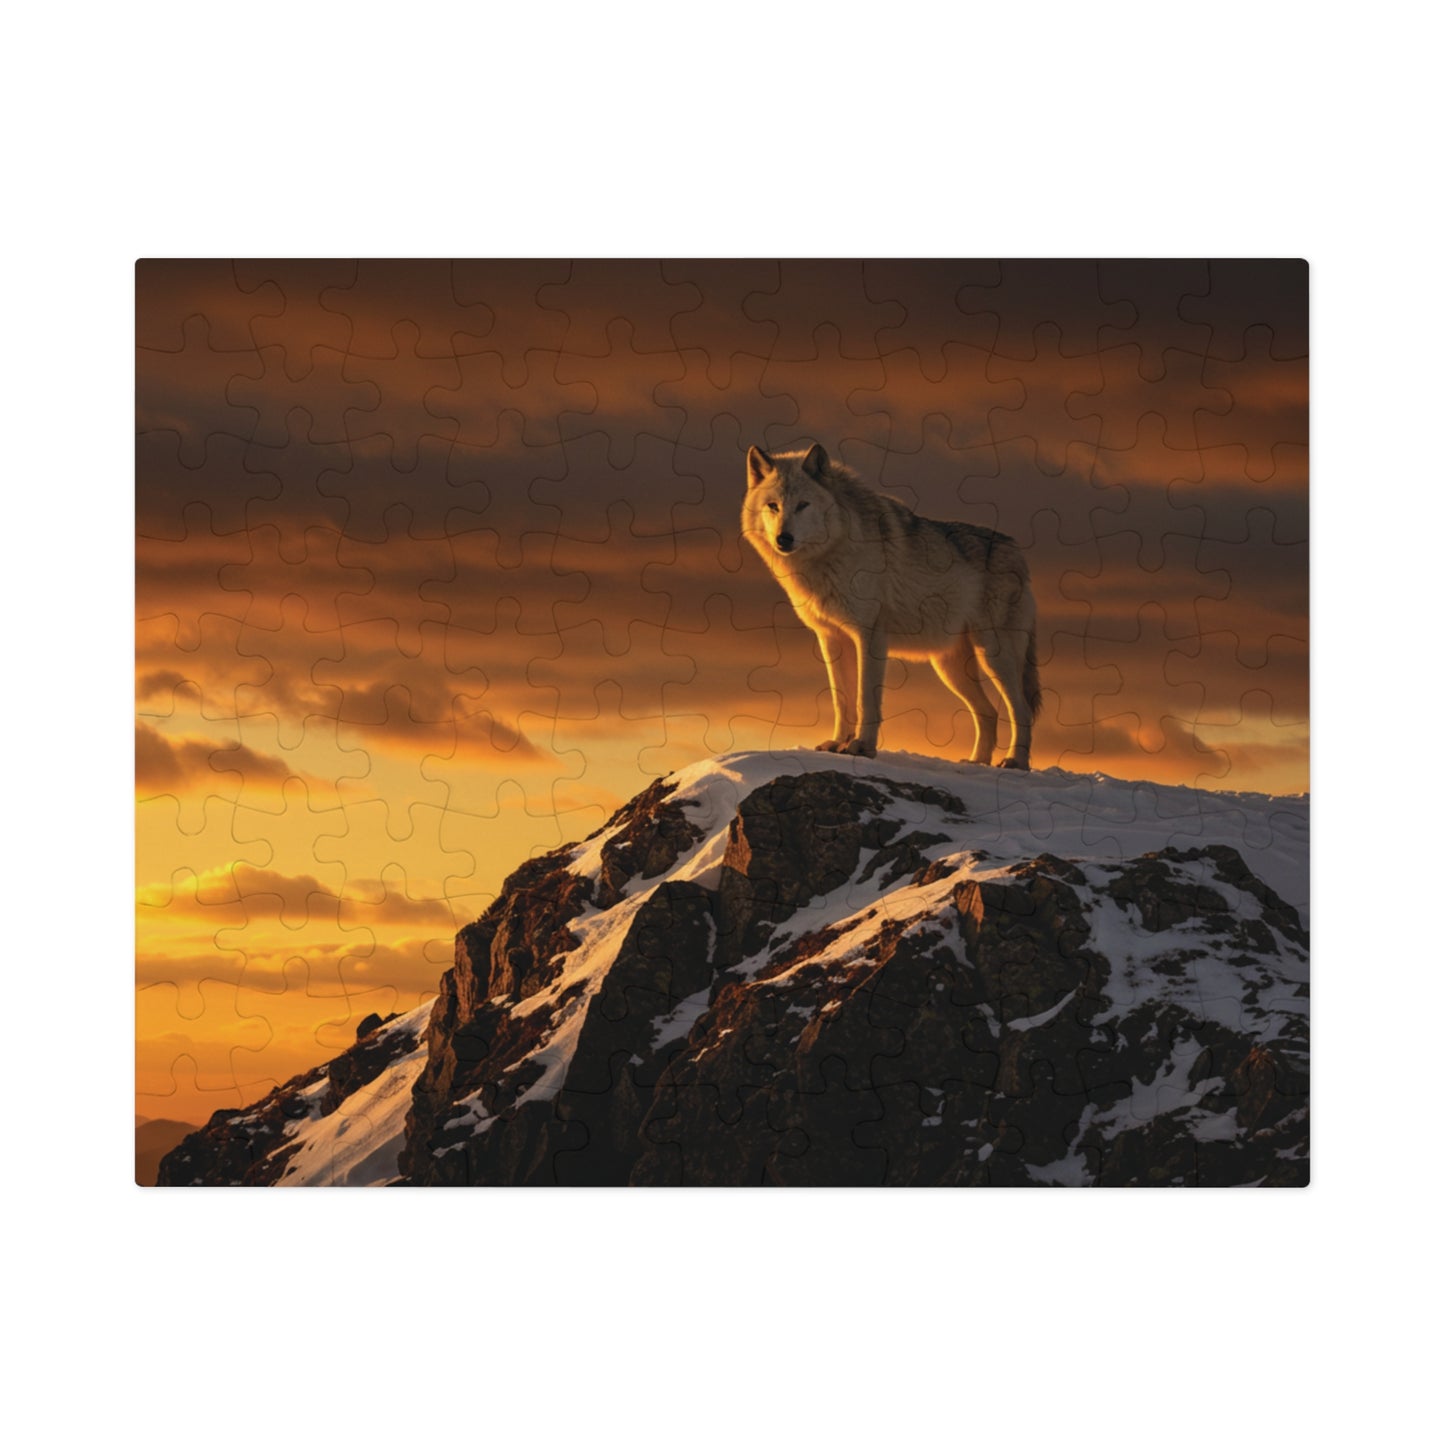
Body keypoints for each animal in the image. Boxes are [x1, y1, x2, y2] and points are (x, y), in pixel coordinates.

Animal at [742, 443, 1042, 769]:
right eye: (773, 506)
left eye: (802, 505)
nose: (783, 538)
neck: (833, 553)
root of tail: (1018, 553)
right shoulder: (831, 638)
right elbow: (841, 700)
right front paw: (837, 743)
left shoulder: (869, 636)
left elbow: (865, 699)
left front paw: (861, 747)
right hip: (950, 667)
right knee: (989, 712)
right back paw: (976, 764)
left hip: (994, 656)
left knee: (1021, 710)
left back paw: (1015, 762)